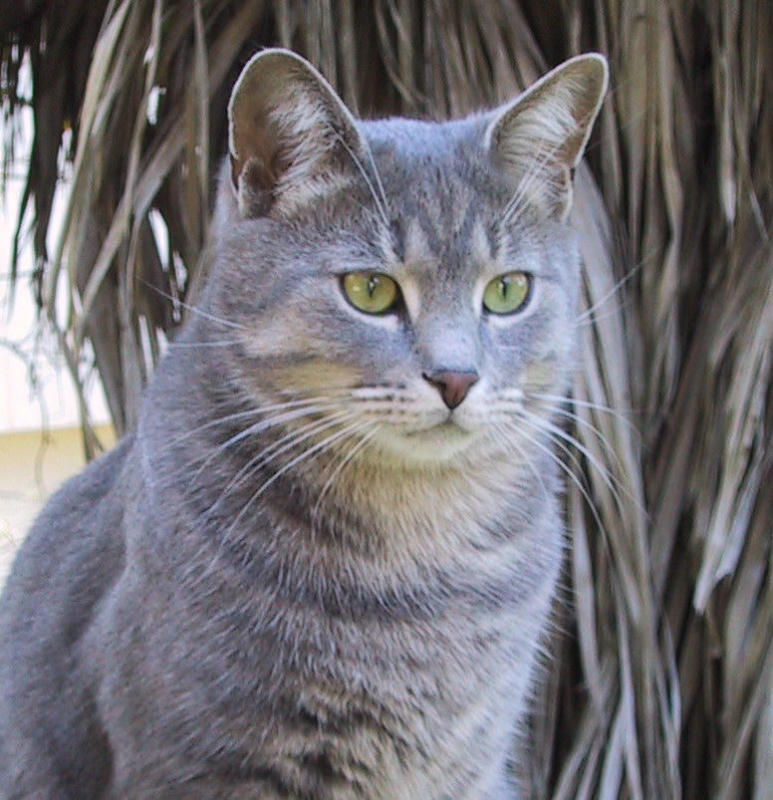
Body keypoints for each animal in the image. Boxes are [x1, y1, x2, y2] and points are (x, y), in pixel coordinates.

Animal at [0, 50, 608, 800]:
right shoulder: (206, 766)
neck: (422, 558)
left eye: (506, 291)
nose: (456, 377)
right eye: (370, 291)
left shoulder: (473, 764)